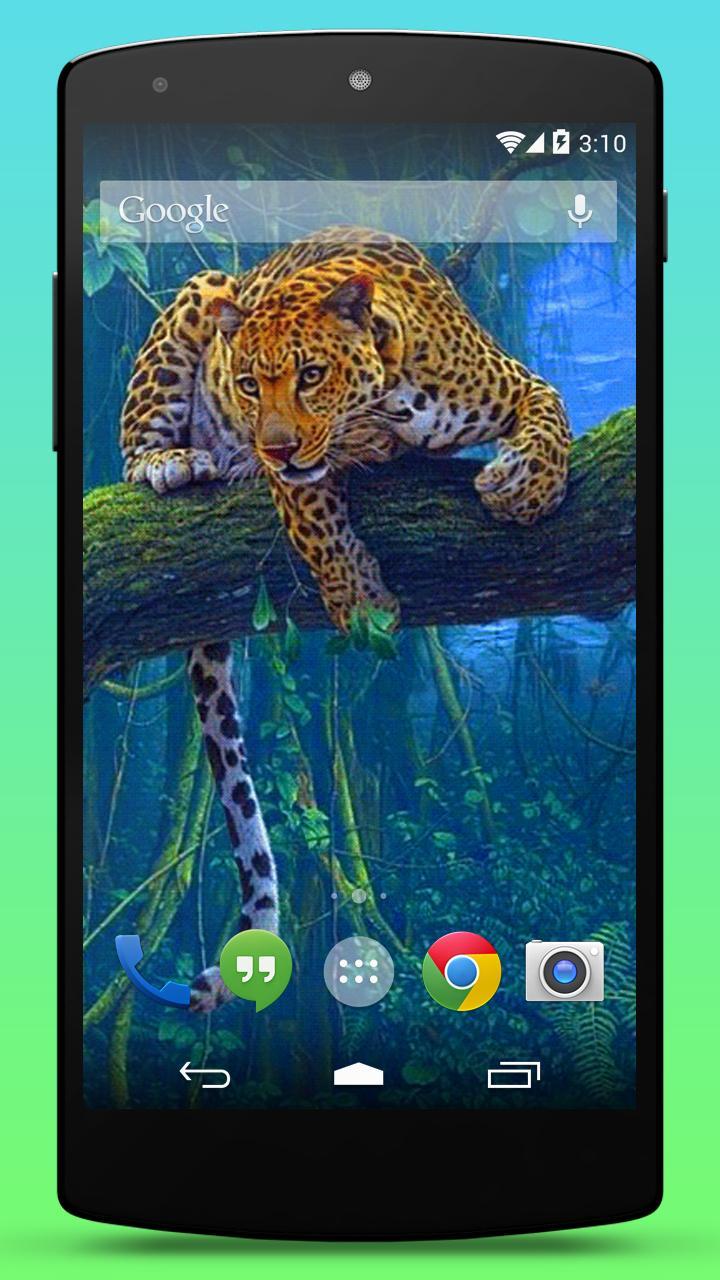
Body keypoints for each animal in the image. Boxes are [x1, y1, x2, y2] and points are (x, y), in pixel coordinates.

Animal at [120, 226, 571, 1010]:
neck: (392, 398)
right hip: (201, 292)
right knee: (128, 457)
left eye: (310, 374)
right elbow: (316, 521)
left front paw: (524, 487)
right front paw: (361, 601)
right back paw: (172, 461)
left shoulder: (518, 381)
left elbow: (553, 415)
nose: (270, 443)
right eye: (247, 384)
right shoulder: (293, 476)